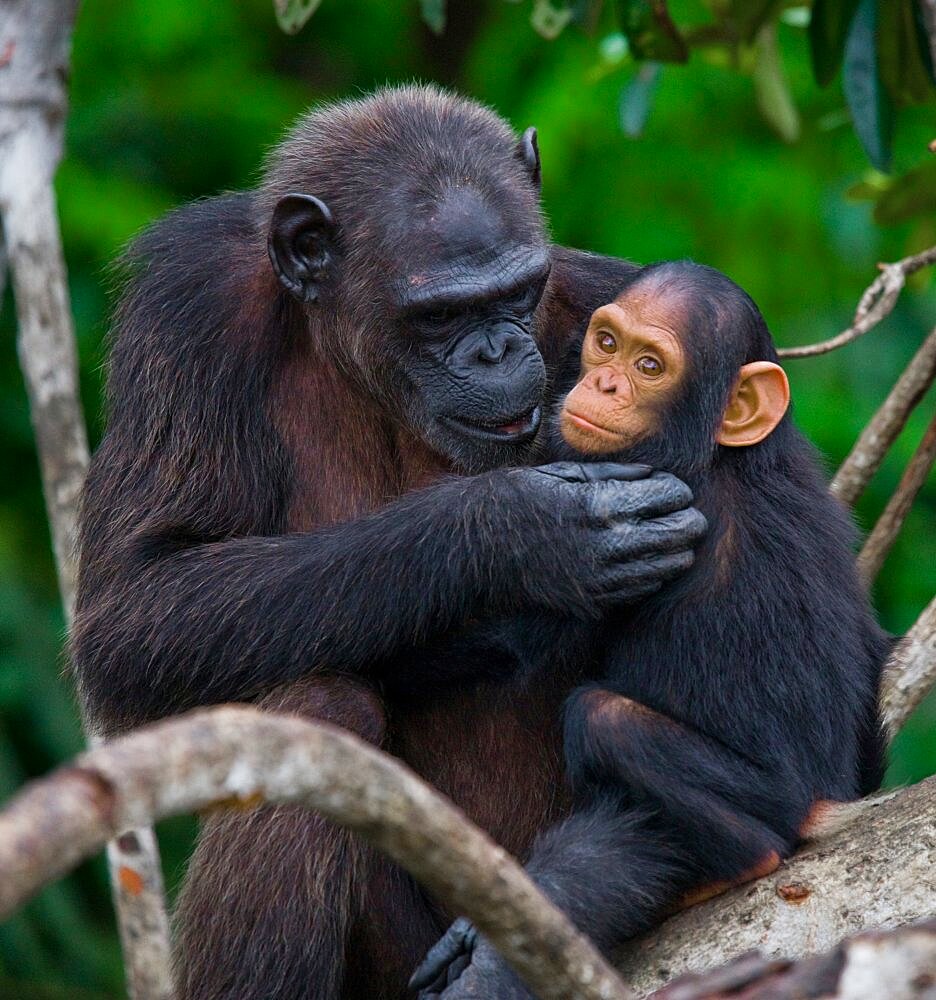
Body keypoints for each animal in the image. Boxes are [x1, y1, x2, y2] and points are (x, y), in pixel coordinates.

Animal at [71, 88, 704, 1000]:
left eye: (520, 293)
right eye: (439, 315)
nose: (498, 349)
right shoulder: (186, 310)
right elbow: (133, 604)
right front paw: (521, 532)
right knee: (316, 707)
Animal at [414, 262, 888, 996]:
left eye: (648, 365)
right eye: (606, 343)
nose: (606, 383)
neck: (720, 456)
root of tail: (825, 803)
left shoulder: (653, 513)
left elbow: (504, 644)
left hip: (775, 801)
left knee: (604, 718)